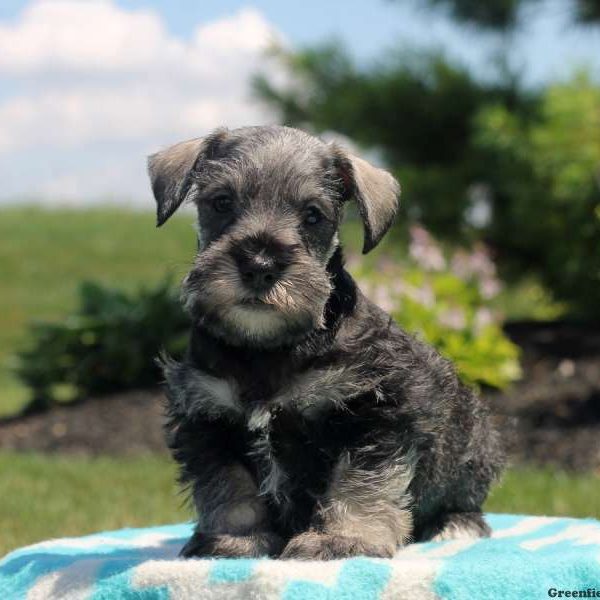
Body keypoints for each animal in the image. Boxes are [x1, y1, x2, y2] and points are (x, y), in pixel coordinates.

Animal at [148, 124, 504, 560]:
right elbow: (228, 486)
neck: (266, 349)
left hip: (471, 443)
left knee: (464, 501)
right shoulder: (208, 415)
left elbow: (360, 482)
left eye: (313, 214)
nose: (260, 265)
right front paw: (233, 540)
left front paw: (344, 540)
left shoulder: (376, 410)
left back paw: (455, 525)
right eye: (221, 202)